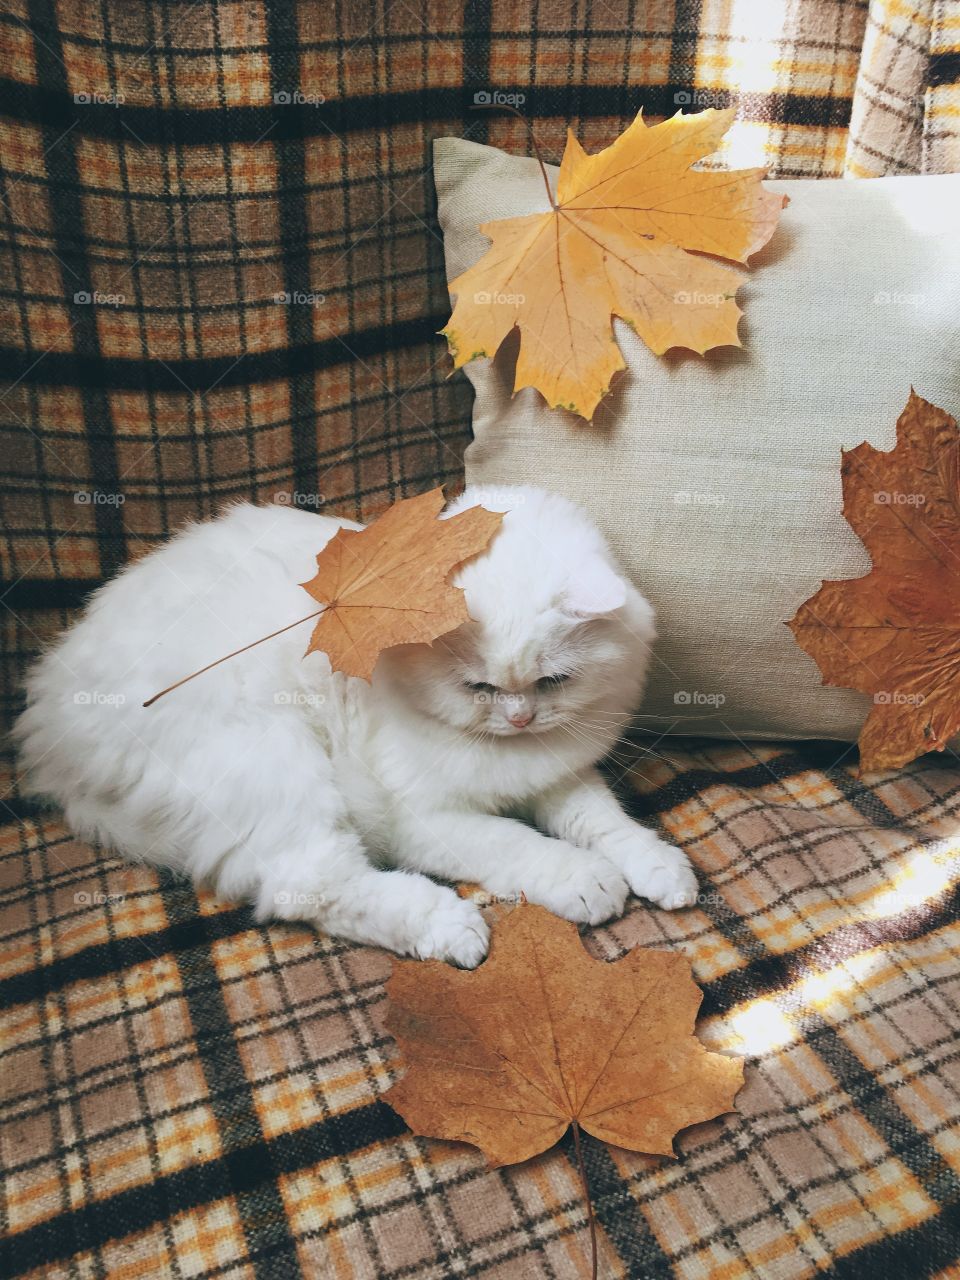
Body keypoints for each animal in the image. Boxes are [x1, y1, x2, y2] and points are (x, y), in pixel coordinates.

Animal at [15, 483, 701, 962]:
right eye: (478, 687)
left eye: (552, 683)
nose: (520, 718)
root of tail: (47, 730)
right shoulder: (422, 819)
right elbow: (522, 844)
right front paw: (587, 882)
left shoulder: (560, 776)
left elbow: (605, 822)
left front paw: (660, 869)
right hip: (280, 764)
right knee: (312, 886)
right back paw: (453, 928)